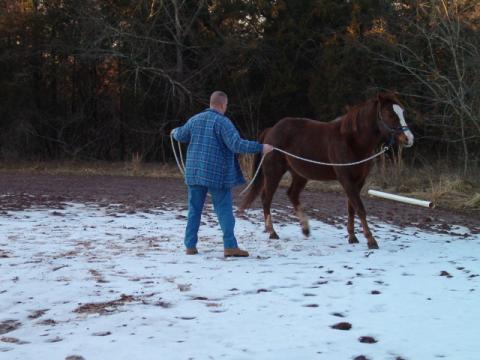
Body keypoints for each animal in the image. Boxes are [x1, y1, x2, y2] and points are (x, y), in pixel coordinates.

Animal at [242, 93, 414, 249]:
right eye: (390, 114)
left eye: (403, 112)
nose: (409, 138)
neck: (352, 141)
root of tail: (271, 130)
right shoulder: (346, 179)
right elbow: (360, 208)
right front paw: (371, 240)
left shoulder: (359, 181)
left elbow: (351, 208)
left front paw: (352, 237)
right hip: (274, 172)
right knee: (267, 198)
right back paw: (272, 232)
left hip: (300, 174)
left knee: (292, 194)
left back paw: (305, 229)